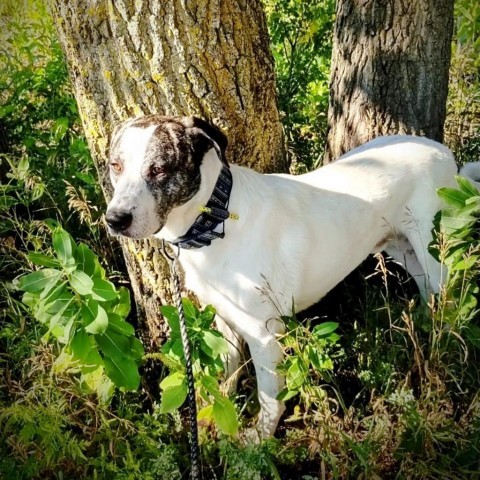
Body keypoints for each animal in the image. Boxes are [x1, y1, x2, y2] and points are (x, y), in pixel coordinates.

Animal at [105, 115, 476, 438]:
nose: (115, 219)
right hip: (406, 251)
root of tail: (443, 150)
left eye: (159, 169)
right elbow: (227, 374)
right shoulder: (226, 322)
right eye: (115, 166)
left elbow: (270, 397)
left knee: (452, 304)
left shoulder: (264, 335)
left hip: (434, 252)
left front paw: (258, 439)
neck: (217, 220)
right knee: (431, 298)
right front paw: (217, 415)